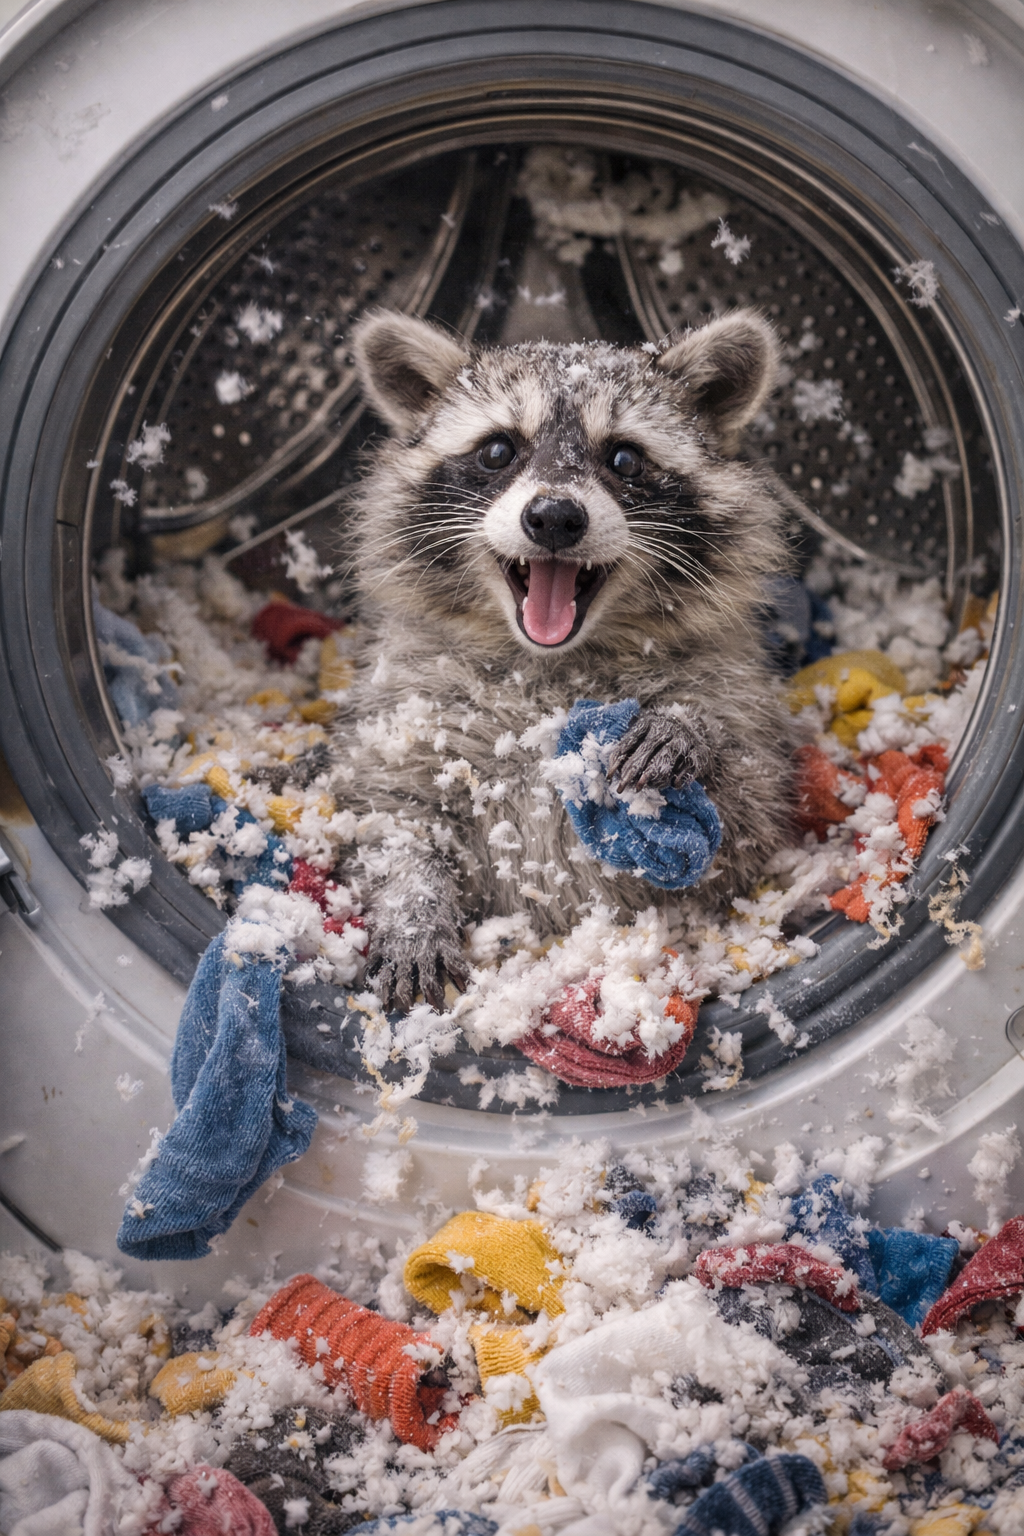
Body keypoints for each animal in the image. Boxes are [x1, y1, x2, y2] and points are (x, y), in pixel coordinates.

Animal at [333, 309, 798, 1011]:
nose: (554, 516)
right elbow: (391, 818)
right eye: (498, 450)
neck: (550, 658)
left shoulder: (737, 686)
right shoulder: (407, 707)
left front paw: (689, 728)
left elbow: (751, 801)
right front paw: (414, 909)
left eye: (625, 458)